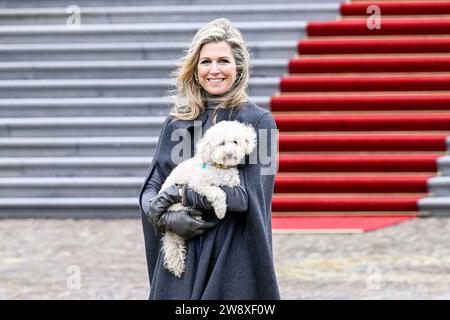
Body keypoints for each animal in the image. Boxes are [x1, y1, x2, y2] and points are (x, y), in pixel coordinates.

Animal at [158, 120, 256, 278]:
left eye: (235, 142)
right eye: (222, 144)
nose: (230, 153)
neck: (220, 167)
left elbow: (233, 182)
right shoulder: (198, 184)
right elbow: (218, 192)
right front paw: (221, 211)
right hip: (179, 207)